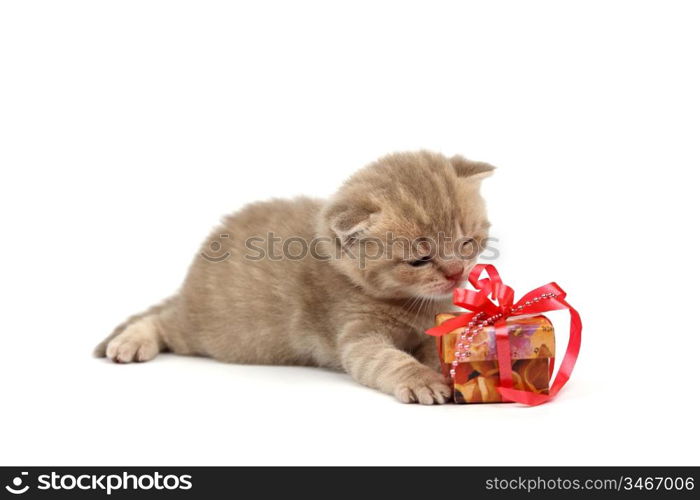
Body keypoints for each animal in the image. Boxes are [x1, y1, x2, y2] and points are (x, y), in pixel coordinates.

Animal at [95, 150, 494, 404]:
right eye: (420, 259)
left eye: (467, 243)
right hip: (209, 332)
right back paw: (130, 342)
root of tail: (189, 280)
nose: (456, 272)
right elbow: (385, 360)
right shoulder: (355, 334)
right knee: (161, 321)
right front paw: (422, 379)